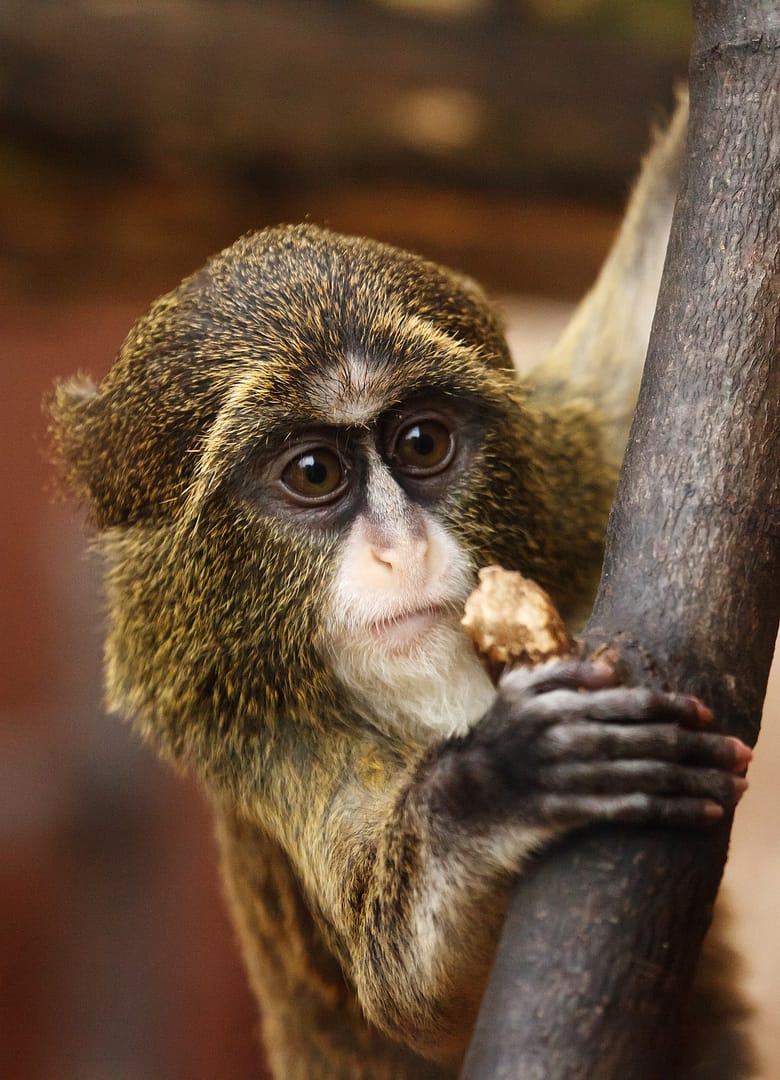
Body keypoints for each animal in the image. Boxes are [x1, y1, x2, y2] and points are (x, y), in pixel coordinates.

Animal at [49, 97, 755, 1079]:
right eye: (314, 471)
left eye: (421, 443)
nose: (402, 549)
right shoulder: (265, 740)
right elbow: (422, 1002)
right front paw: (501, 784)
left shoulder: (575, 466)